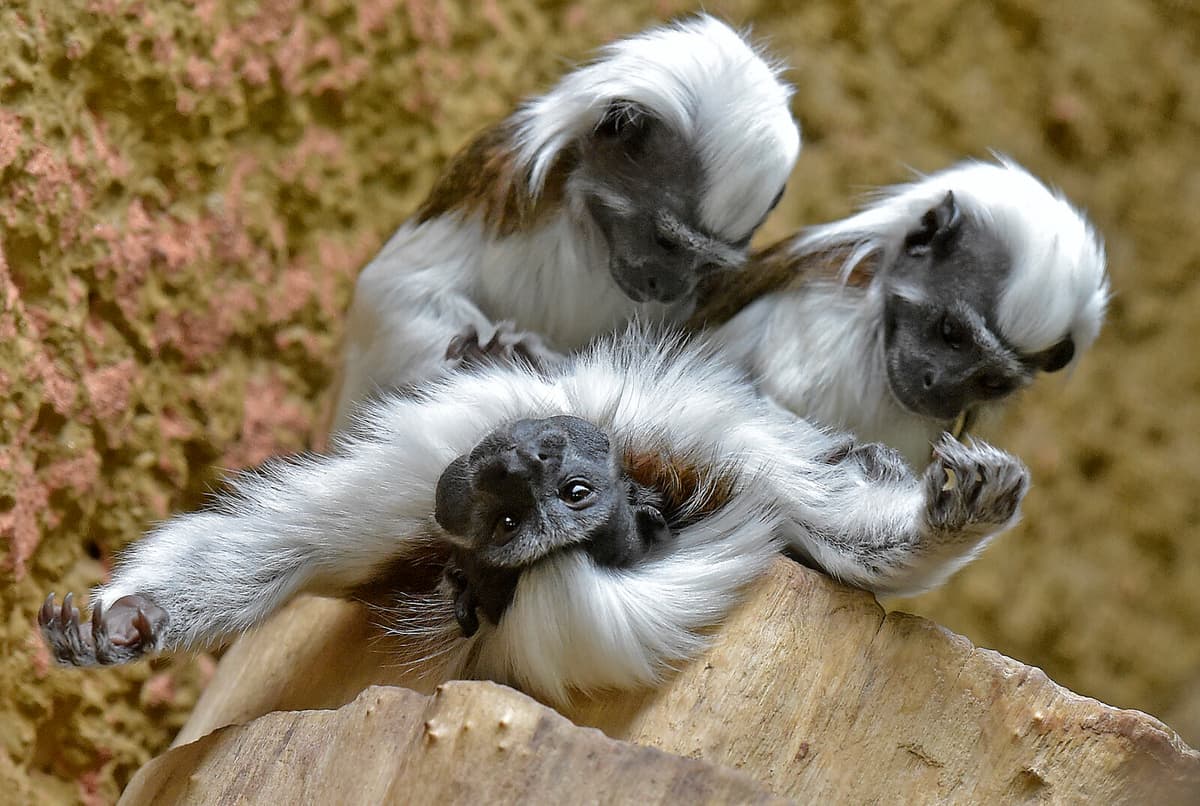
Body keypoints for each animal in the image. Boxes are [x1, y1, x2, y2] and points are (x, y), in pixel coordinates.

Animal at [41, 328, 1029, 704]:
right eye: (517, 513)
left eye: (568, 503)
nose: (515, 465)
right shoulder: (410, 504)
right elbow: (274, 553)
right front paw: (126, 624)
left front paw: (952, 517)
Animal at [331, 15, 800, 431]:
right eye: (665, 240)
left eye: (706, 263)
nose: (668, 287)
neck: (592, 234)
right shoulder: (498, 187)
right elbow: (396, 290)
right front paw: (495, 355)